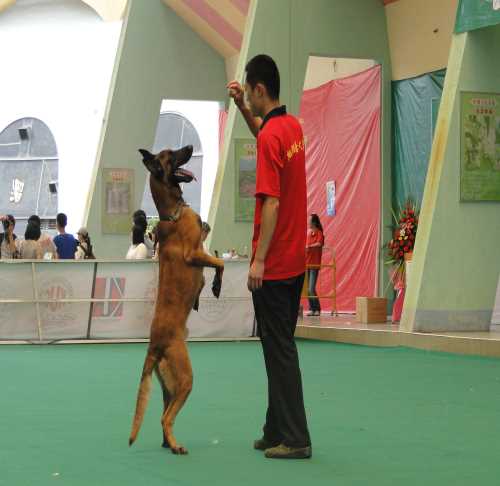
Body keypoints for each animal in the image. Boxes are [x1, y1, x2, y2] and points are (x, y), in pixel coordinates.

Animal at [128, 145, 224, 456]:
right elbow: (220, 263)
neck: (172, 213)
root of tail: (154, 347)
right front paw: (216, 285)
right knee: (164, 417)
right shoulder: (195, 253)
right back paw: (175, 444)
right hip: (184, 379)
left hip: (169, 386)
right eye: (171, 154)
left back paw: (167, 443)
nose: (191, 147)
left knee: (163, 414)